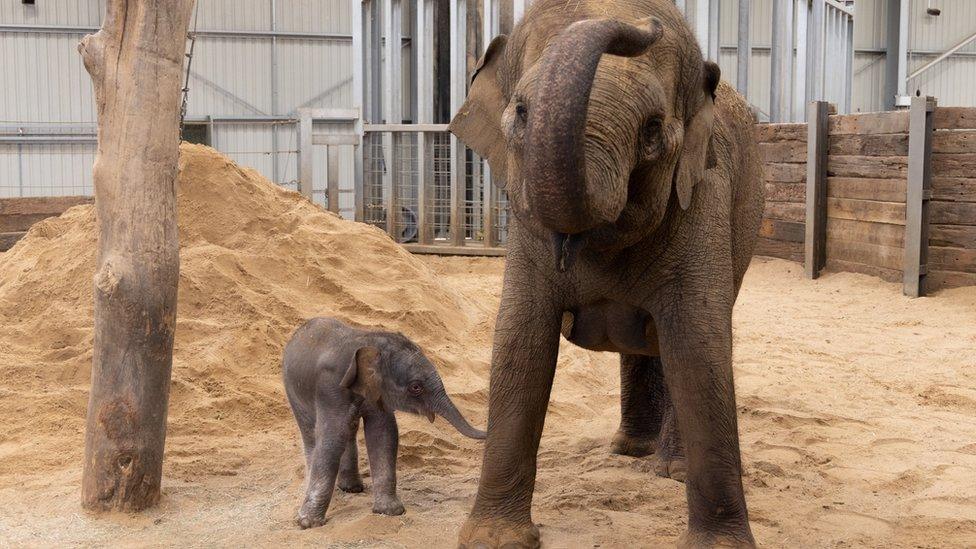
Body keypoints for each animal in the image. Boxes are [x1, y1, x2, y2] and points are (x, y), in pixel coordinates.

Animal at [282, 316, 484, 528]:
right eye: (416, 387)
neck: (370, 341)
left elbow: (383, 433)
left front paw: (389, 512)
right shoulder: (330, 389)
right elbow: (332, 439)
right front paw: (307, 523)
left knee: (349, 429)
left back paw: (352, 488)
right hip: (293, 391)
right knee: (312, 433)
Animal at [450, 1, 764, 548]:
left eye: (653, 128)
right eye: (522, 112)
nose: (648, 25)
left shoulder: (705, 194)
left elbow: (699, 350)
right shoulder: (527, 230)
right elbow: (519, 343)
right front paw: (494, 539)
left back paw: (670, 469)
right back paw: (630, 451)